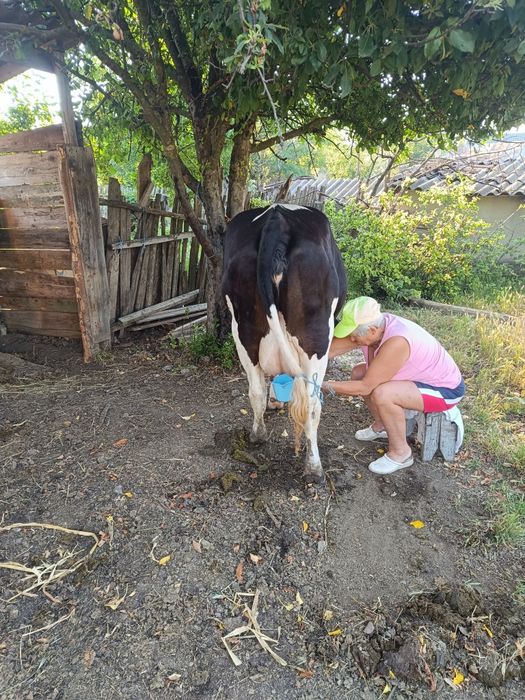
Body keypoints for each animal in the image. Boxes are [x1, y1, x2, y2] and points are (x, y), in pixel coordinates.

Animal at [222, 203, 347, 483]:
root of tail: (276, 217)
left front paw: (275, 401)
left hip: (243, 330)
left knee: (255, 388)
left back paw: (258, 434)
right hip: (316, 334)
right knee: (311, 402)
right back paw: (314, 467)